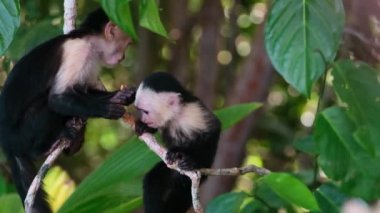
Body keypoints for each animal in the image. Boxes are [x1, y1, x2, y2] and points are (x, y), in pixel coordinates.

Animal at [0, 7, 136, 212]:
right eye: (126, 44)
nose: (124, 57)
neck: (89, 40)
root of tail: (6, 142)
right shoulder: (79, 51)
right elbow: (58, 99)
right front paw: (107, 109)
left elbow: (85, 90)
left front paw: (119, 96)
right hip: (20, 136)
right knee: (47, 107)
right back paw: (43, 148)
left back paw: (74, 138)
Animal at [134, 72, 221, 213]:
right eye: (140, 111)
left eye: (145, 111)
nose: (143, 119)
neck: (176, 115)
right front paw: (144, 127)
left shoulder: (194, 111)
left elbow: (213, 129)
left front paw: (191, 160)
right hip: (171, 171)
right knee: (153, 180)